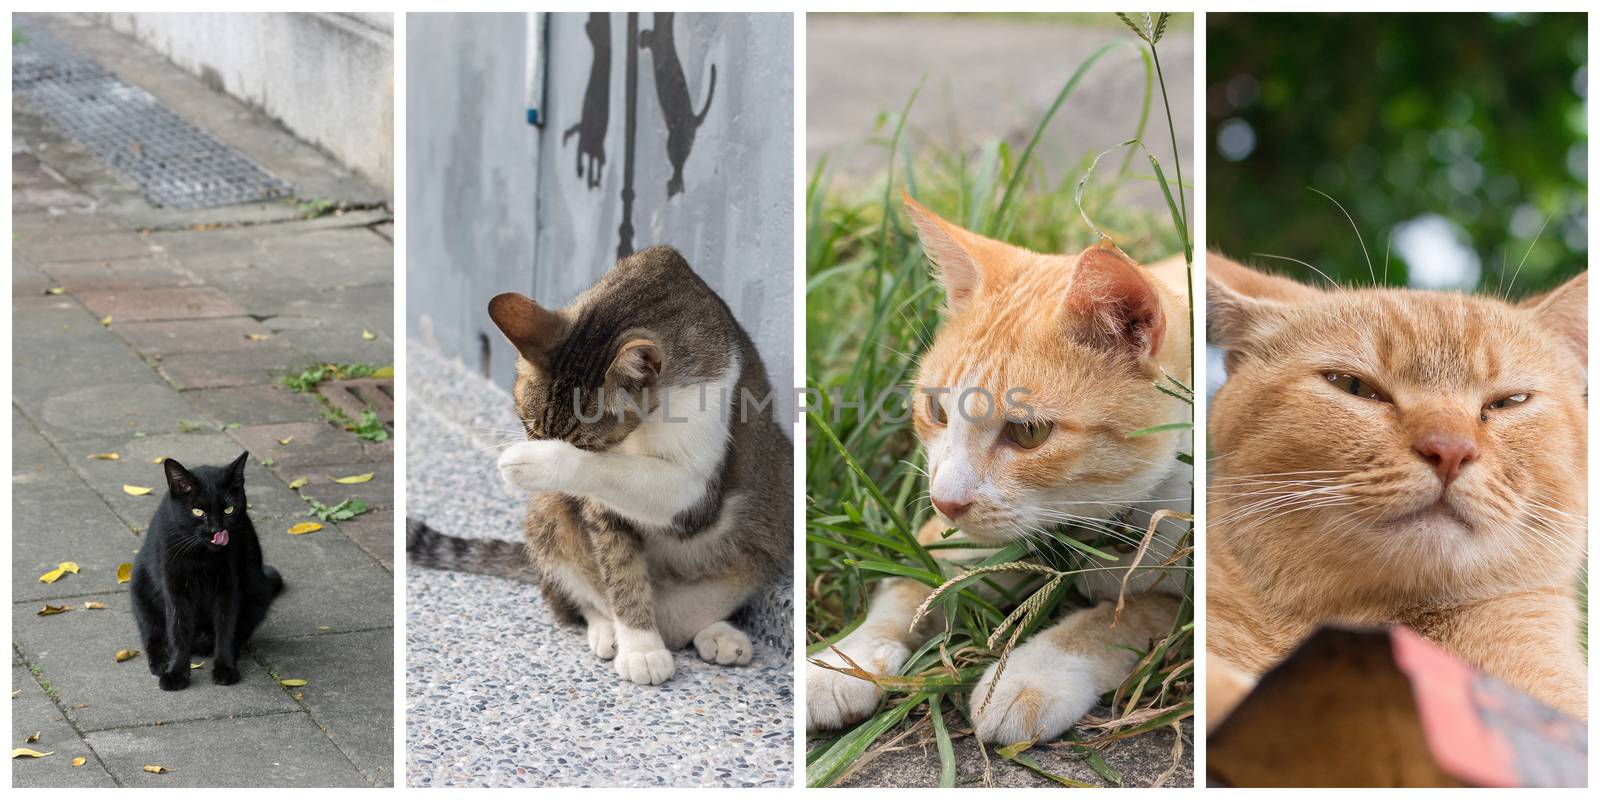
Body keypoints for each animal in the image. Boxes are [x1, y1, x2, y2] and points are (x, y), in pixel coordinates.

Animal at [131, 454, 284, 691]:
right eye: (198, 511)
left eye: (229, 509)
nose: (216, 530)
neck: (202, 556)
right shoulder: (175, 588)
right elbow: (178, 630)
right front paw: (176, 673)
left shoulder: (229, 588)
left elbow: (226, 629)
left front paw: (225, 668)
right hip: (140, 589)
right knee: (152, 634)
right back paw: (160, 662)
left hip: (259, 591)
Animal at [806, 198, 1196, 742]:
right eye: (937, 410)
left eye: (1029, 433)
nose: (945, 500)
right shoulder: (946, 541)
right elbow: (912, 586)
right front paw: (846, 661)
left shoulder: (1187, 598)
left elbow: (1117, 620)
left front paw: (1029, 675)